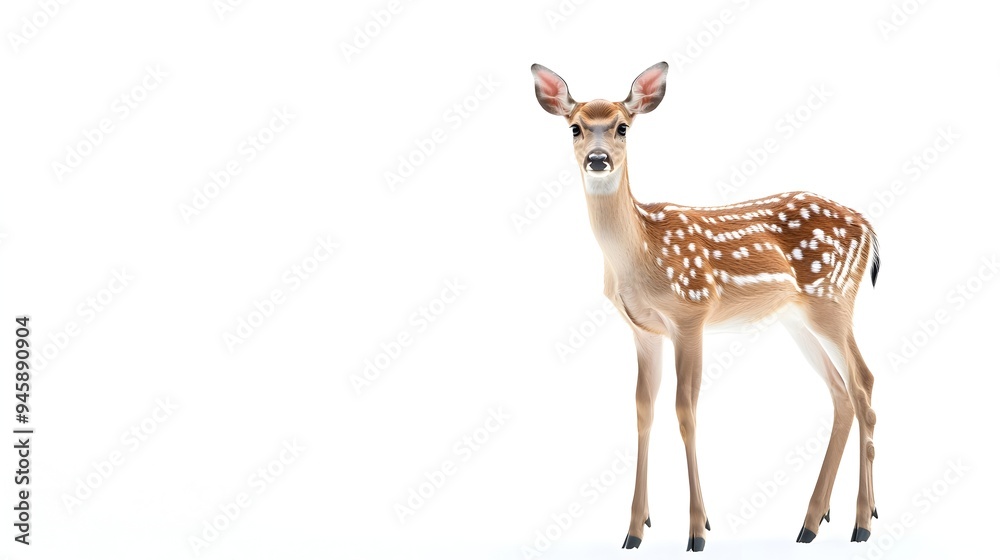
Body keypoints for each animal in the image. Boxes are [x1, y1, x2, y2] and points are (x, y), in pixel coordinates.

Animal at [531, 61, 880, 552]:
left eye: (623, 127)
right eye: (575, 127)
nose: (597, 160)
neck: (640, 255)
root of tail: (869, 228)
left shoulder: (691, 314)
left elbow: (685, 411)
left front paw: (698, 530)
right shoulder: (643, 330)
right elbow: (643, 409)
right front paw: (635, 529)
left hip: (833, 299)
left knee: (864, 383)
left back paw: (862, 523)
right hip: (796, 319)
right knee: (841, 393)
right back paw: (811, 523)